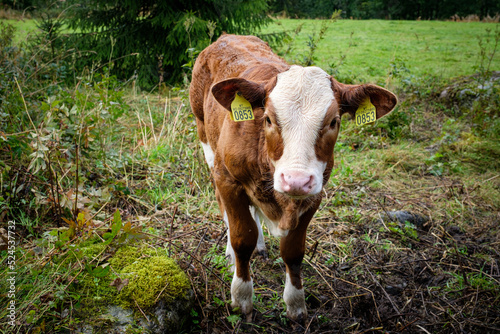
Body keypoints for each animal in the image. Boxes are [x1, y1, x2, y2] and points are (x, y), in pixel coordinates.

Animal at [189, 34, 396, 324]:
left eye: (334, 122)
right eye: (268, 119)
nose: (296, 180)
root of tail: (226, 37)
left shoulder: (314, 193)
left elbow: (294, 251)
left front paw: (296, 304)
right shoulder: (227, 177)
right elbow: (242, 238)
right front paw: (241, 298)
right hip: (206, 140)